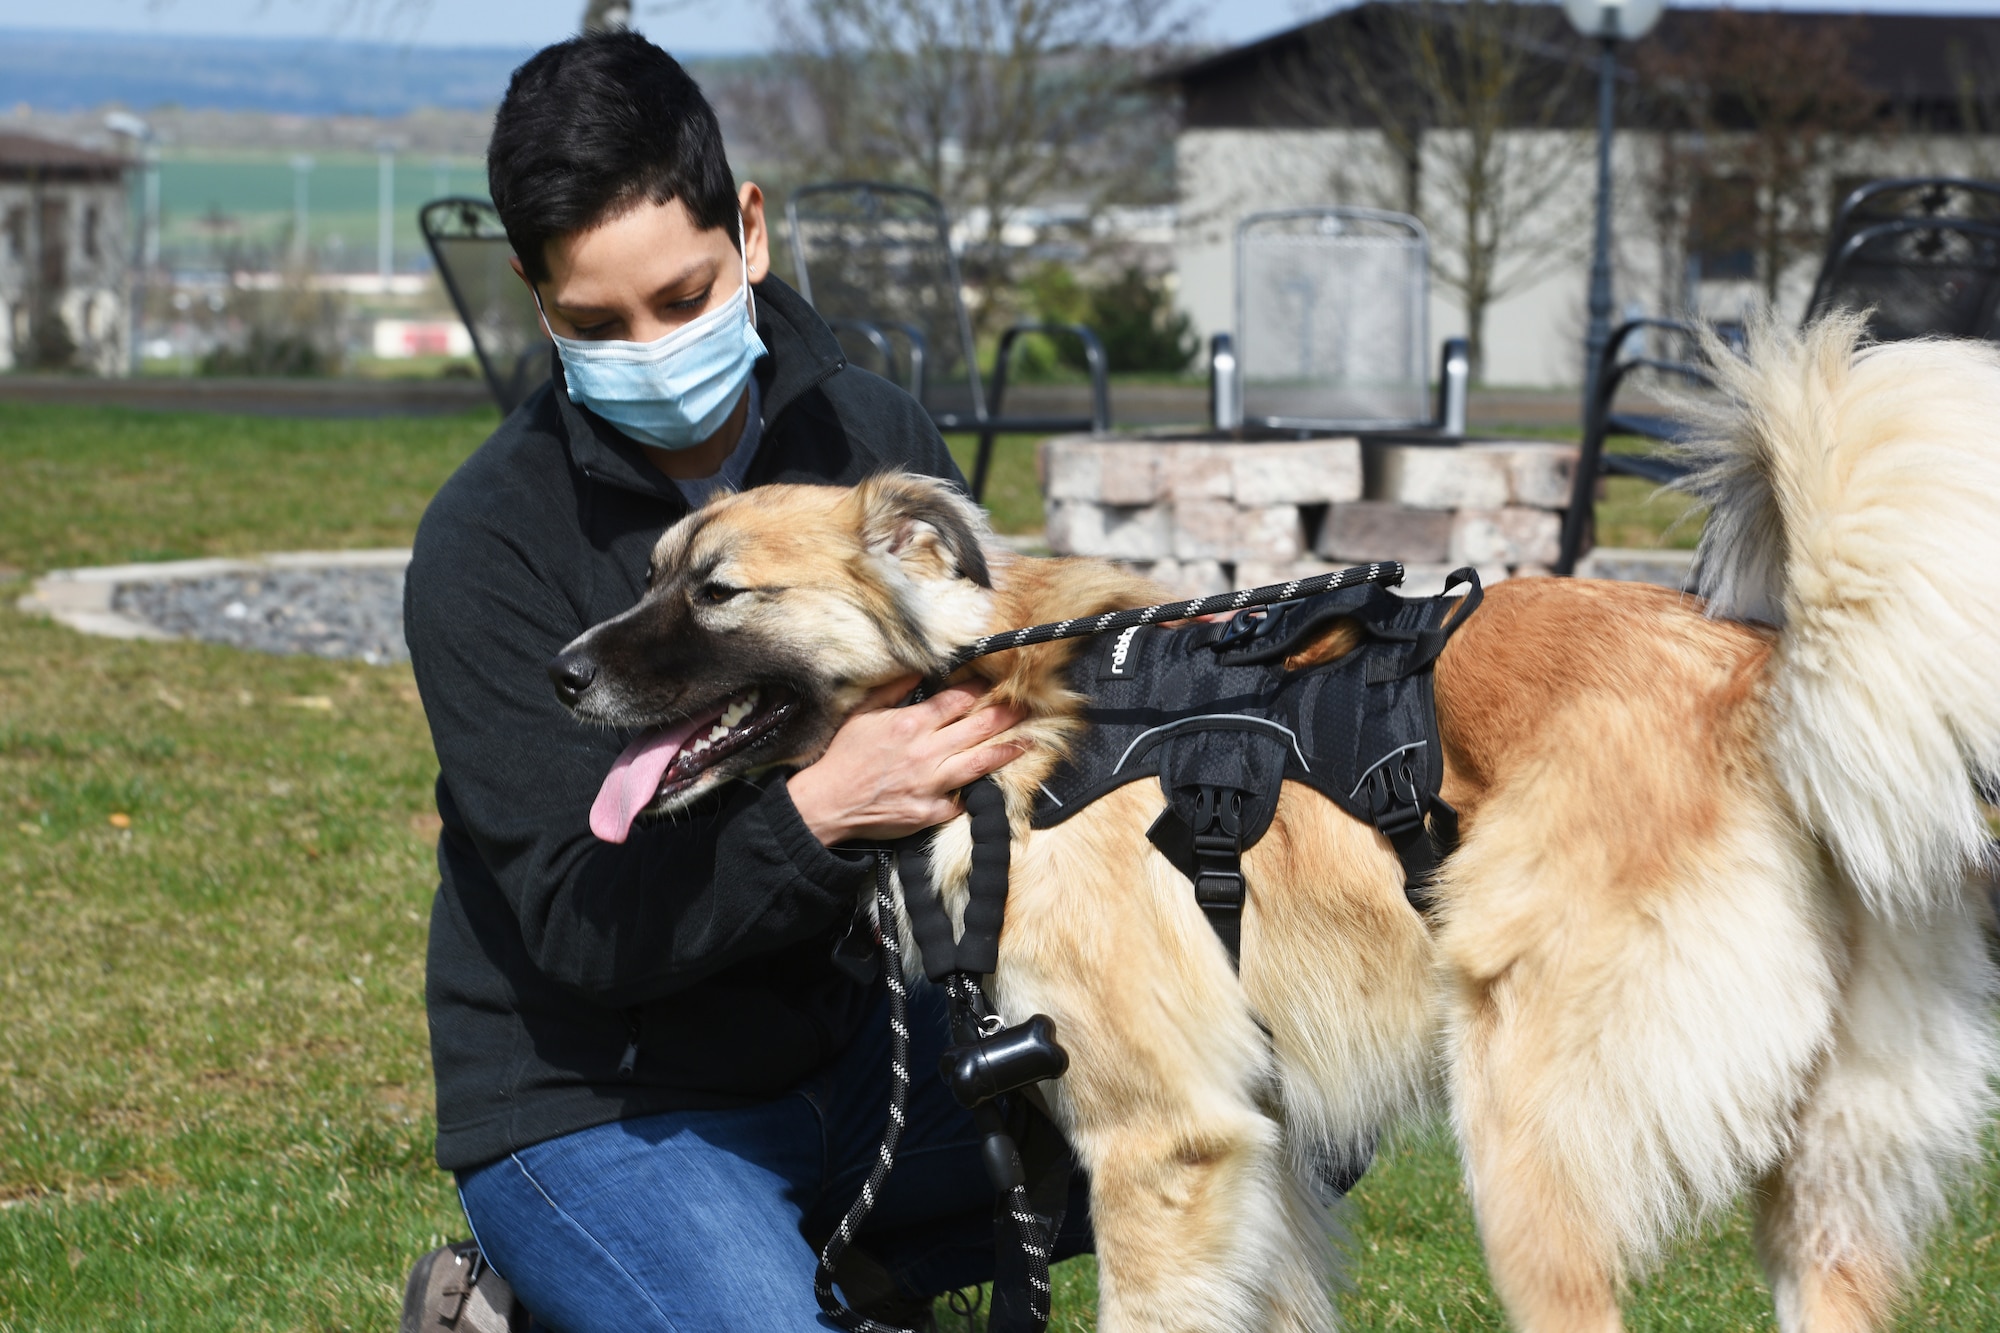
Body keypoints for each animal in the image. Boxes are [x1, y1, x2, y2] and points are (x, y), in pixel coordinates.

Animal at [556, 314, 2000, 1328]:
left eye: (718, 592)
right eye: (652, 576)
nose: (563, 673)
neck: (990, 704)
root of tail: (1761, 682)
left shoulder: (1165, 1140)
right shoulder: (1270, 1148)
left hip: (1528, 1161)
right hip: (1821, 1200)